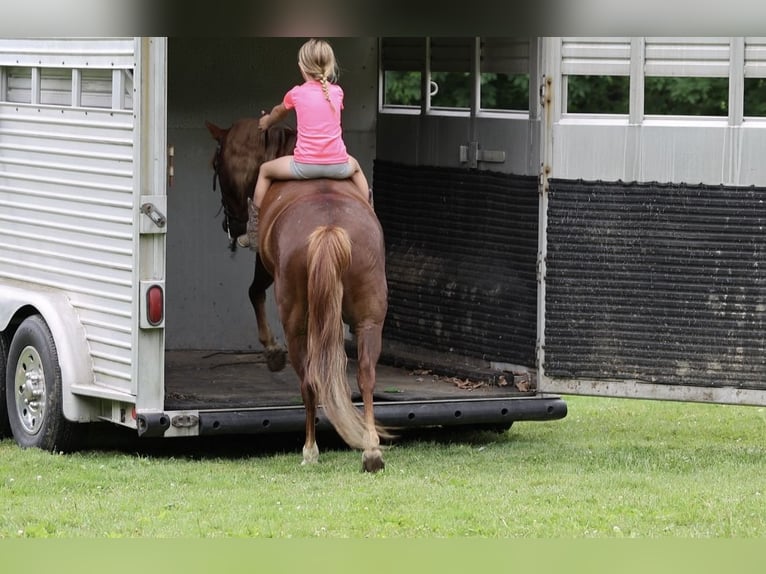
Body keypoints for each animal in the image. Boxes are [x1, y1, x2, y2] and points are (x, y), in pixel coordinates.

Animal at [206, 118, 390, 472]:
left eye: (216, 166)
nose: (231, 226)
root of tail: (330, 229)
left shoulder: (266, 266)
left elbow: (253, 291)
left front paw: (271, 350)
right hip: (369, 321)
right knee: (366, 375)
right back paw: (371, 451)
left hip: (297, 327)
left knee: (309, 382)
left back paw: (310, 450)